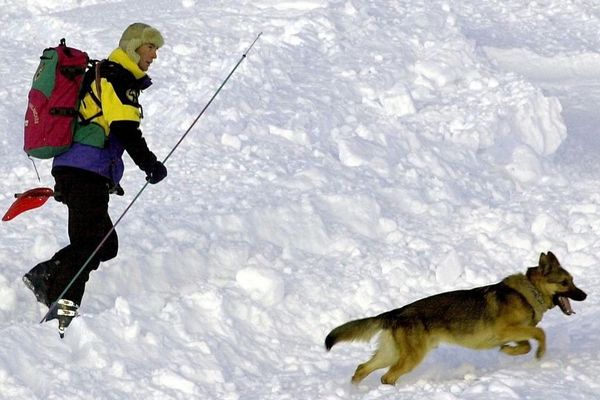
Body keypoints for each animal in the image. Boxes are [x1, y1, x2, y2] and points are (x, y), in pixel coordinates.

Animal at [326, 252, 588, 386]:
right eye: (565, 283)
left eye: (573, 280)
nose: (585, 295)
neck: (529, 292)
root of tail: (395, 312)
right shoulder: (506, 330)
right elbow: (540, 334)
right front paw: (540, 354)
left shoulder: (513, 334)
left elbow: (524, 344)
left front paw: (508, 351)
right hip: (410, 358)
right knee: (386, 376)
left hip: (391, 354)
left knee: (362, 369)